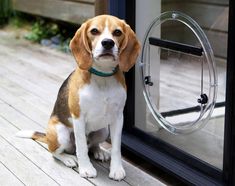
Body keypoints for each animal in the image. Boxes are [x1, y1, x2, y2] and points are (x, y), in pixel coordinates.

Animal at [17, 15, 141, 181]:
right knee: (55, 152)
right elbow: (81, 146)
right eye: (94, 31)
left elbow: (116, 148)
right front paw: (86, 169)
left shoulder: (117, 117)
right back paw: (68, 158)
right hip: (61, 134)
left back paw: (99, 151)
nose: (108, 43)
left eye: (117, 32)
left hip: (103, 131)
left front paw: (116, 169)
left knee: (92, 145)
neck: (103, 77)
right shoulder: (78, 117)